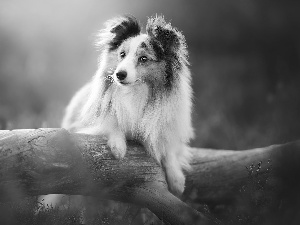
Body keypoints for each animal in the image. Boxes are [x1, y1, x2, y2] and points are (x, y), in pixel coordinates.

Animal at [63, 15, 195, 195]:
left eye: (143, 59)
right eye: (122, 54)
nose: (119, 74)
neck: (135, 91)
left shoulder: (165, 125)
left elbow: (168, 149)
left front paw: (177, 180)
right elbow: (112, 123)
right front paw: (118, 148)